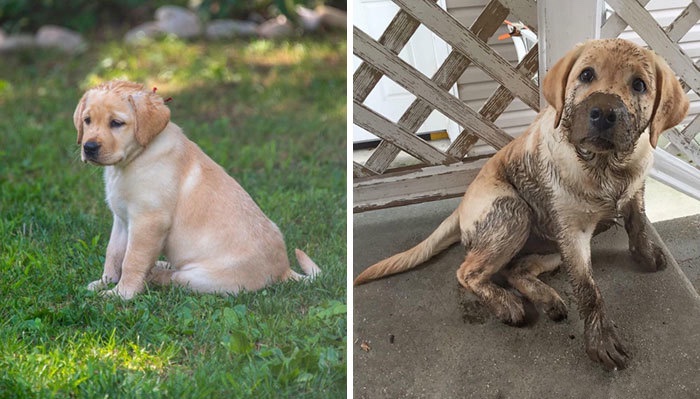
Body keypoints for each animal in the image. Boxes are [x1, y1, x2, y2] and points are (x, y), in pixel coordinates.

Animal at [74, 79, 320, 300]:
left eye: (116, 123)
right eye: (87, 120)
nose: (89, 147)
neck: (133, 160)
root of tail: (284, 269)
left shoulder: (149, 220)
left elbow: (132, 259)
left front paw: (121, 293)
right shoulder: (122, 219)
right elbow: (114, 253)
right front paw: (104, 282)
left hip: (203, 278)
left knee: (174, 278)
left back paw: (154, 274)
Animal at [356, 39, 688, 370]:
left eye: (639, 85)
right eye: (586, 75)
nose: (604, 112)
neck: (606, 166)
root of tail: (460, 207)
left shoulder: (634, 191)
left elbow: (637, 223)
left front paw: (645, 254)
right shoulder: (574, 233)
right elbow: (588, 289)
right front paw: (601, 339)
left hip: (555, 243)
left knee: (516, 269)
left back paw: (546, 299)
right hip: (514, 213)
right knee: (468, 272)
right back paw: (506, 303)